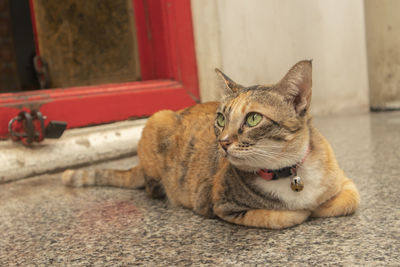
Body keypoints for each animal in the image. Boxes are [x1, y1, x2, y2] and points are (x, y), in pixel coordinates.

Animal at [61, 60, 360, 230]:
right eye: (221, 119)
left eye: (253, 119)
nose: (223, 142)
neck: (288, 172)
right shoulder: (219, 204)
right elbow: (285, 216)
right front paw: (305, 211)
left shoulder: (347, 184)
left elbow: (347, 201)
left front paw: (320, 206)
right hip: (158, 118)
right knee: (151, 186)